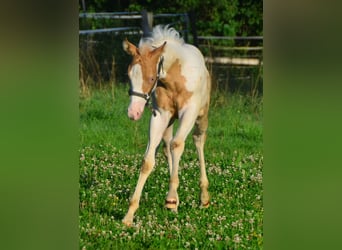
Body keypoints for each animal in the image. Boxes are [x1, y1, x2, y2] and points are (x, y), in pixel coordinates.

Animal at [121, 25, 210, 227]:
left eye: (151, 78)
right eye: (128, 75)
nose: (133, 112)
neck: (174, 79)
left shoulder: (189, 112)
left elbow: (178, 145)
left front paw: (170, 199)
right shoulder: (160, 115)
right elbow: (148, 160)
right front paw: (129, 214)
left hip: (201, 115)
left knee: (197, 141)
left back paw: (204, 198)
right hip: (169, 121)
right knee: (167, 145)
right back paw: (176, 201)